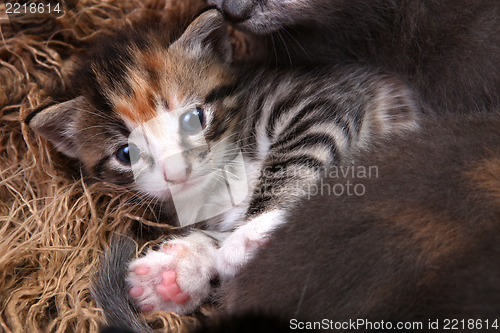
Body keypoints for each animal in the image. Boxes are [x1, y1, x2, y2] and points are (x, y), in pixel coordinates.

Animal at [26, 9, 418, 324]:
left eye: (193, 119)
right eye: (127, 153)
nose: (177, 173)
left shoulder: (321, 99)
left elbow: (295, 158)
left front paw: (254, 233)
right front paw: (177, 274)